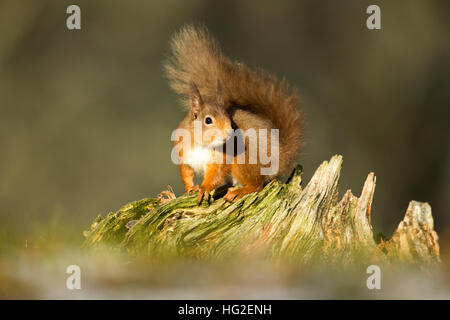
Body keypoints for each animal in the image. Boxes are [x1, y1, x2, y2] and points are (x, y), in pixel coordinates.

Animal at [164, 26, 302, 204]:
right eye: (208, 120)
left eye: (230, 119)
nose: (230, 132)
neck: (202, 144)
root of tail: (282, 157)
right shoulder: (183, 154)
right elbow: (186, 173)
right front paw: (190, 189)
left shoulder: (221, 157)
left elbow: (215, 174)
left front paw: (204, 188)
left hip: (244, 160)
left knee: (257, 185)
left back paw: (239, 192)